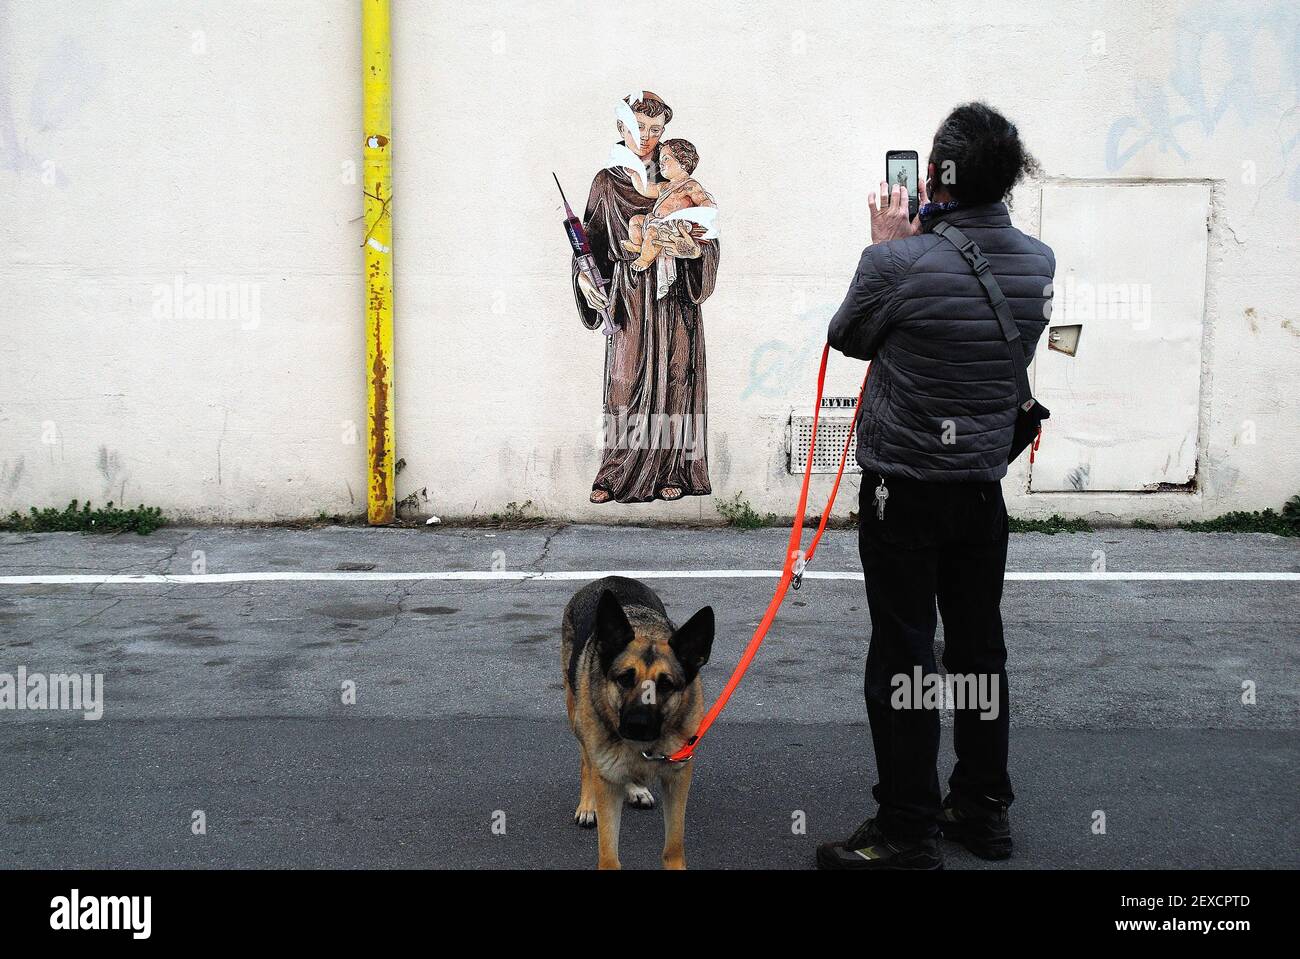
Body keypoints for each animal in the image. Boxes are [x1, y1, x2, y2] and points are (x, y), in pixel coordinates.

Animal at [561, 574, 717, 868]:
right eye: (624, 679)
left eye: (666, 685)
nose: (637, 726)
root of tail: (611, 578)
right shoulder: (607, 785)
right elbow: (609, 856)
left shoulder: (678, 780)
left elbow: (673, 847)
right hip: (577, 718)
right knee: (586, 762)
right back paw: (587, 805)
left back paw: (636, 788)